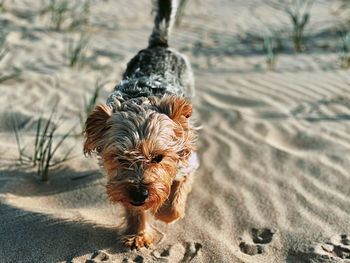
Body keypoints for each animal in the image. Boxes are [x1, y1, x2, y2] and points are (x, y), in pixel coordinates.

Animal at [82, 0, 197, 250]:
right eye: (120, 158)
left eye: (159, 158)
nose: (140, 194)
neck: (142, 101)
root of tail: (159, 46)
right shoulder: (123, 182)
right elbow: (134, 209)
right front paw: (138, 234)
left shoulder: (188, 160)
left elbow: (175, 201)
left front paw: (163, 210)